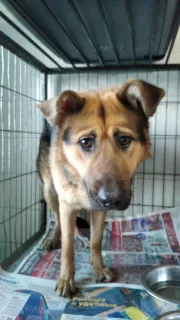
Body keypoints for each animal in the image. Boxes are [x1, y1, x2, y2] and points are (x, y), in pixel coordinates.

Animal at [36, 79, 165, 298]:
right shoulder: (67, 202)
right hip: (50, 190)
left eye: (124, 140)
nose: (111, 199)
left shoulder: (99, 210)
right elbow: (67, 249)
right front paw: (66, 279)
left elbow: (96, 240)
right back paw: (56, 237)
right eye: (85, 142)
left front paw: (98, 268)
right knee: (58, 218)